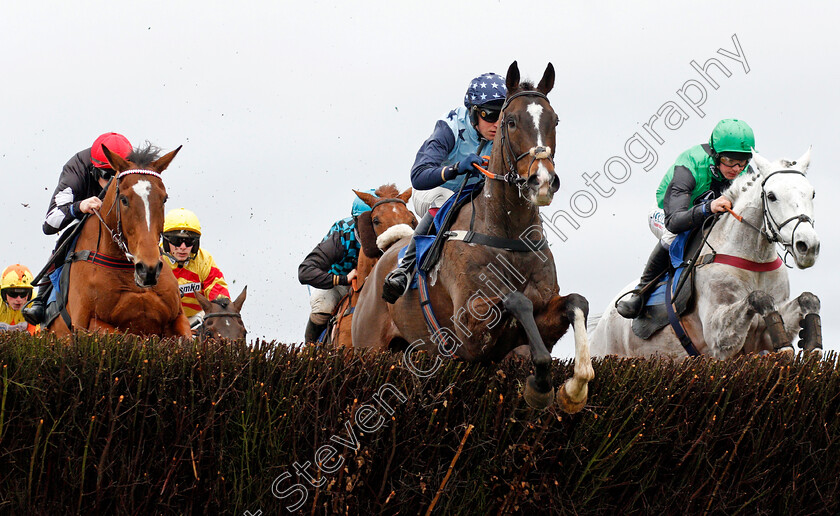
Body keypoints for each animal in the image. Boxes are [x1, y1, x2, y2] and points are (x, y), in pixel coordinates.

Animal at [352, 61, 592, 412]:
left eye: (555, 120)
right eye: (509, 120)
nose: (542, 181)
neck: (508, 234)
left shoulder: (541, 319)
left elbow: (577, 302)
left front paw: (574, 387)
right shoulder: (469, 330)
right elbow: (516, 300)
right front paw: (540, 386)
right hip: (367, 346)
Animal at [592, 149, 820, 358]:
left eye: (812, 193)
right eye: (772, 196)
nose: (807, 246)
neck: (754, 259)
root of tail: (601, 324)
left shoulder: (762, 335)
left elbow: (808, 299)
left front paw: (812, 344)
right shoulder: (718, 336)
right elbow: (758, 297)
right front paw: (786, 346)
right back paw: (631, 304)